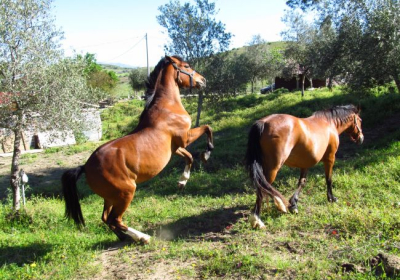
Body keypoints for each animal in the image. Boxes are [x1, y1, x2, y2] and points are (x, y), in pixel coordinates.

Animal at [61, 55, 214, 243]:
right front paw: (206, 154)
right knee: (115, 219)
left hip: (111, 197)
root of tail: (85, 167)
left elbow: (189, 157)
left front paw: (182, 182)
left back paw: (124, 238)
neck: (167, 106)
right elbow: (207, 128)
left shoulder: (175, 147)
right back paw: (143, 237)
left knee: (106, 218)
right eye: (186, 66)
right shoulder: (185, 138)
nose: (203, 80)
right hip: (126, 192)